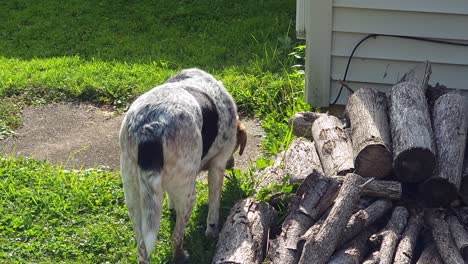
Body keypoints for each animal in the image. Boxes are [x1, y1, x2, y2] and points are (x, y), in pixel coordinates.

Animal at [119, 69, 247, 262]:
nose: (231, 165)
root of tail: (150, 129)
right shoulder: (217, 165)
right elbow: (214, 206)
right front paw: (212, 232)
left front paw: (171, 206)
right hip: (189, 196)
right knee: (176, 237)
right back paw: (181, 256)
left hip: (133, 197)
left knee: (142, 248)